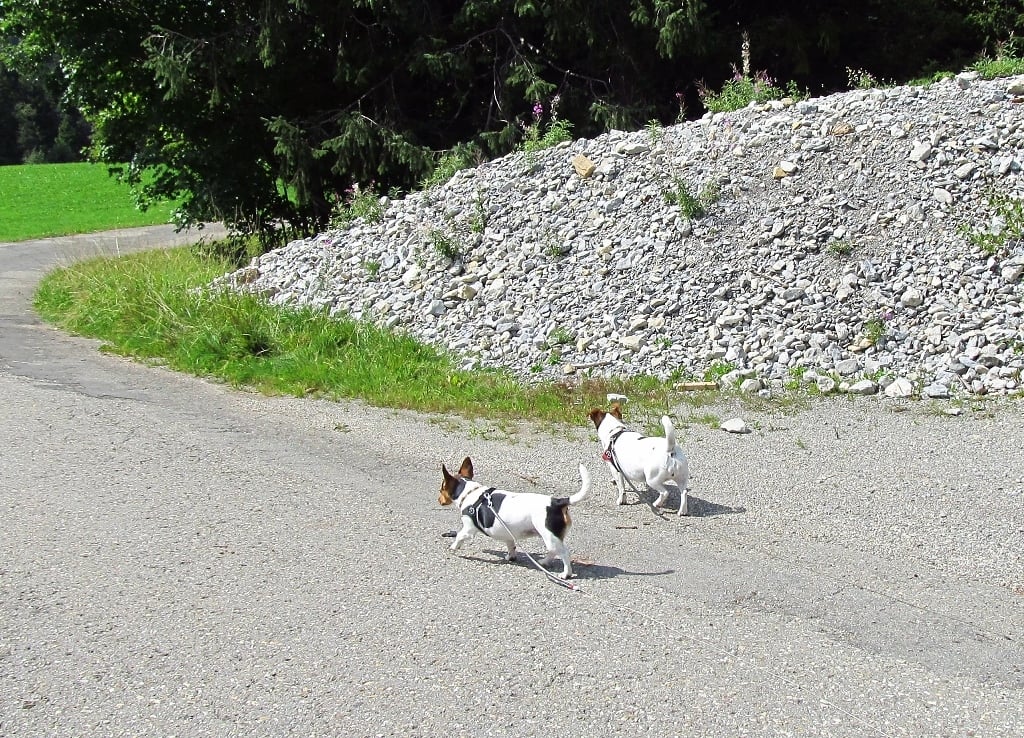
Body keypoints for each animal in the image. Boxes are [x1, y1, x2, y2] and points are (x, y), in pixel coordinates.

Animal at [438, 457, 591, 579]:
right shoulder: (508, 535)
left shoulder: (468, 529)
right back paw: (543, 562)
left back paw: (566, 574)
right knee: (553, 551)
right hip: (551, 538)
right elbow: (511, 546)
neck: (470, 493)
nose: (438, 500)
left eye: (441, 489)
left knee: (564, 553)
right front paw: (511, 557)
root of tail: (557, 502)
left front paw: (453, 547)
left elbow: (459, 536)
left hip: (550, 537)